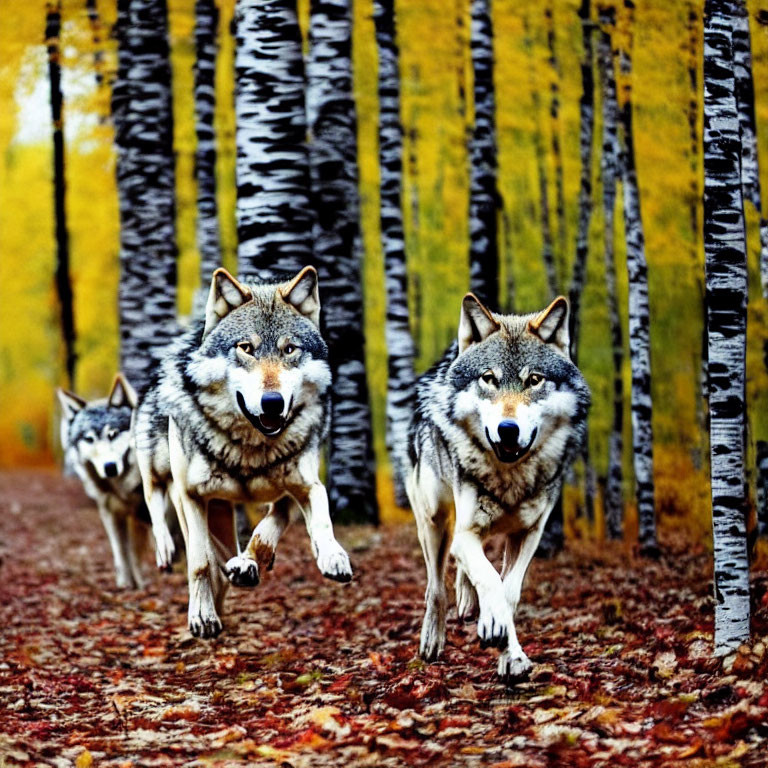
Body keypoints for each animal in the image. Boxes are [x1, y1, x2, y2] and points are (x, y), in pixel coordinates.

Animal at [58, 372, 150, 588]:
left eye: (113, 434)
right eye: (89, 439)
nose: (110, 467)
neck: (121, 488)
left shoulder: (141, 514)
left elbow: (135, 551)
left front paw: (141, 584)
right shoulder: (111, 513)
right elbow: (120, 552)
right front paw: (125, 585)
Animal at [135, 268, 354, 640]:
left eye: (290, 349)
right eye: (246, 349)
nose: (272, 402)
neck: (250, 451)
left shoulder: (303, 487)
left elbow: (284, 527)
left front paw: (330, 557)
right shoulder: (190, 496)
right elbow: (200, 562)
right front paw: (202, 616)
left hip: (222, 508)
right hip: (160, 472)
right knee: (158, 506)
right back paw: (168, 553)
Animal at [400, 294, 592, 684]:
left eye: (534, 380)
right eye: (489, 379)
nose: (508, 429)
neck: (509, 477)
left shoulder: (530, 533)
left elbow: (508, 590)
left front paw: (511, 656)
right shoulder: (464, 532)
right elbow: (488, 577)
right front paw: (493, 627)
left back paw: (468, 600)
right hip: (435, 522)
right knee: (435, 587)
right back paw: (432, 640)